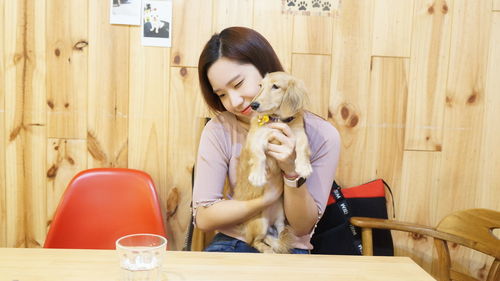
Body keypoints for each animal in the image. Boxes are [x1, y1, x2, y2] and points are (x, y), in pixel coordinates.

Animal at [231, 71, 310, 253]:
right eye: (260, 85)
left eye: (275, 86)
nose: (253, 105)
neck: (277, 120)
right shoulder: (257, 138)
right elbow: (259, 155)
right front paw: (257, 176)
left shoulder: (298, 133)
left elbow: (303, 146)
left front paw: (304, 167)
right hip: (259, 222)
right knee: (254, 241)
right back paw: (268, 250)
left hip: (281, 219)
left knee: (276, 234)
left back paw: (277, 245)